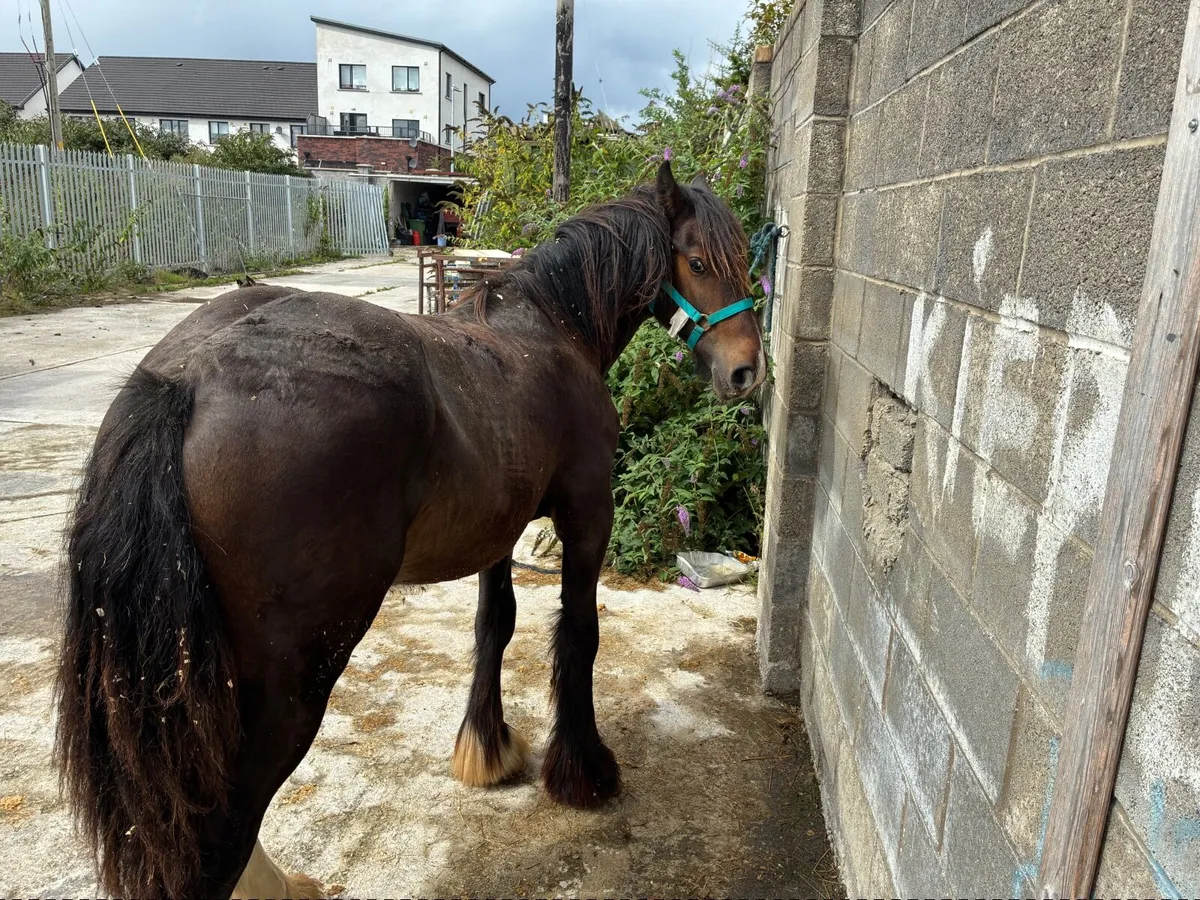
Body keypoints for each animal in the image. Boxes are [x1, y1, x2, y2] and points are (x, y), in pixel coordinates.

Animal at [54, 161, 765, 898]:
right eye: (698, 261)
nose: (748, 370)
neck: (551, 329)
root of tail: (187, 377)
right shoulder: (588, 516)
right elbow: (578, 634)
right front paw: (582, 771)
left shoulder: (499, 534)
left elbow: (495, 626)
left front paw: (487, 749)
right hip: (292, 685)